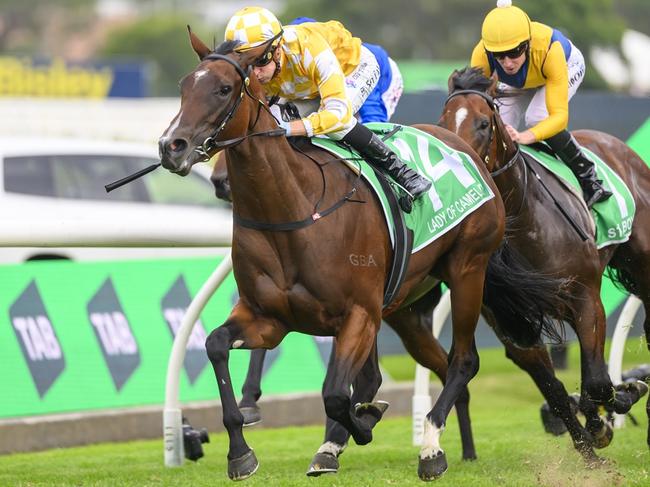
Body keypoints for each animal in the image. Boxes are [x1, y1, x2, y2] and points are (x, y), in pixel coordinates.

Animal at [438, 67, 648, 462]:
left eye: (484, 123)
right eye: (443, 122)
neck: (524, 218)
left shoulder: (585, 298)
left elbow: (597, 381)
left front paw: (620, 400)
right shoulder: (512, 324)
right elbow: (555, 389)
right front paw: (589, 443)